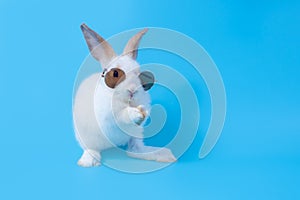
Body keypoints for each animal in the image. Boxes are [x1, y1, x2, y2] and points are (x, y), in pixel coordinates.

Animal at [73, 23, 176, 167]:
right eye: (115, 74)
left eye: (142, 76)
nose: (132, 90)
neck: (124, 101)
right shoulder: (108, 114)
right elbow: (122, 115)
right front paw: (136, 113)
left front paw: (142, 113)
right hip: (87, 138)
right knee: (92, 149)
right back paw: (87, 161)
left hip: (135, 136)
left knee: (134, 150)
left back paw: (164, 154)